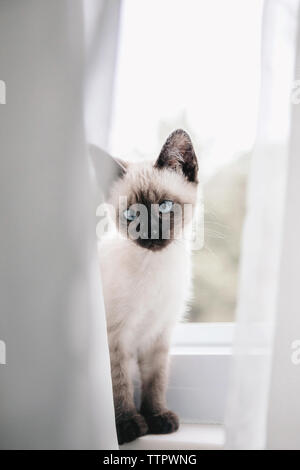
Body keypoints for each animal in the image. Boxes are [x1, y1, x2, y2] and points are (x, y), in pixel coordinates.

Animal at [97, 129, 198, 444]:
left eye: (164, 206)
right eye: (131, 215)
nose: (151, 234)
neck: (156, 268)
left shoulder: (159, 333)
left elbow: (155, 380)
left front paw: (157, 418)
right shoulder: (115, 337)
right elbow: (119, 385)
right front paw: (127, 426)